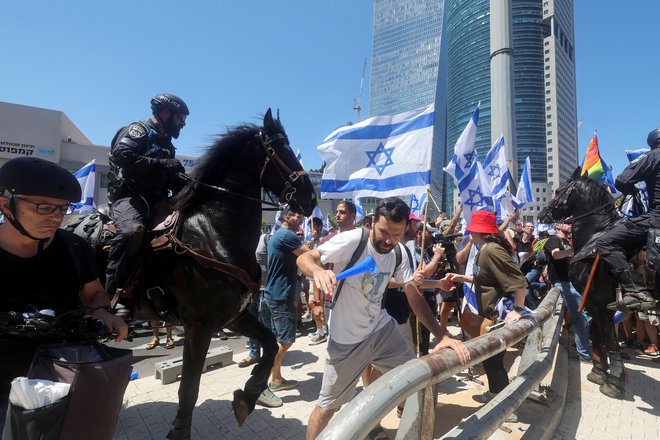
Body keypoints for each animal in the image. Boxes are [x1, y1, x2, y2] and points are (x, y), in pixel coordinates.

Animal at [87, 108, 318, 438]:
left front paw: (248, 396)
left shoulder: (233, 317)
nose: (311, 199)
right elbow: (188, 389)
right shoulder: (200, 326)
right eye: (281, 150)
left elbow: (271, 344)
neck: (213, 234)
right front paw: (179, 431)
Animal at [540, 167, 636, 400]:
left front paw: (613, 380)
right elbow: (597, 333)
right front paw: (600, 371)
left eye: (558, 190)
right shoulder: (598, 304)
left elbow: (607, 337)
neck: (594, 239)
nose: (541, 214)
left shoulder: (598, 302)